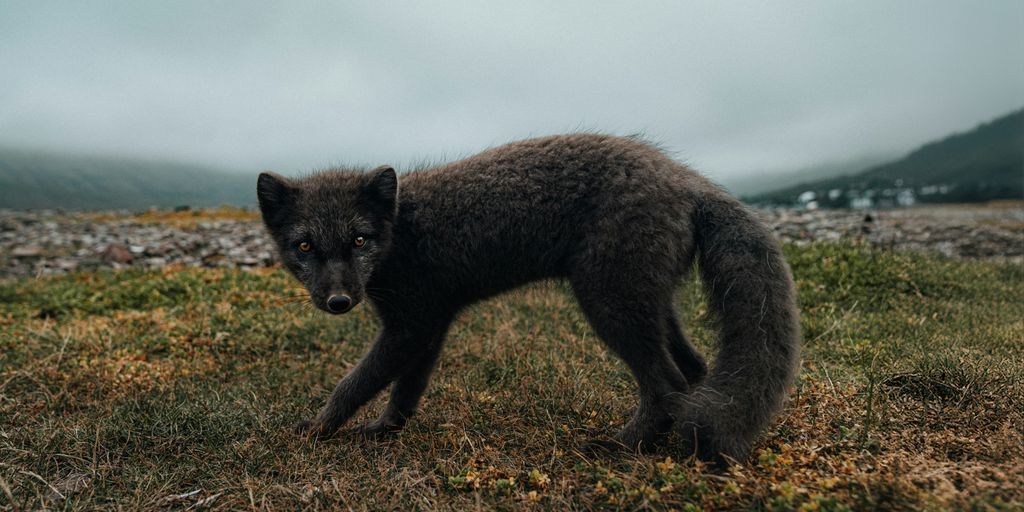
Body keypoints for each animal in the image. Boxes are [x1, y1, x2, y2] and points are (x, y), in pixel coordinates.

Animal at [257, 134, 800, 464]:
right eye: (304, 246)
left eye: (359, 241)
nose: (338, 301)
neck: (401, 230)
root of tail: (686, 179)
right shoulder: (429, 324)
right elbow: (406, 390)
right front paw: (385, 430)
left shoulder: (409, 326)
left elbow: (354, 383)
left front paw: (317, 429)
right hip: (650, 303)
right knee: (695, 369)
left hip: (608, 303)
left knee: (667, 383)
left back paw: (622, 447)